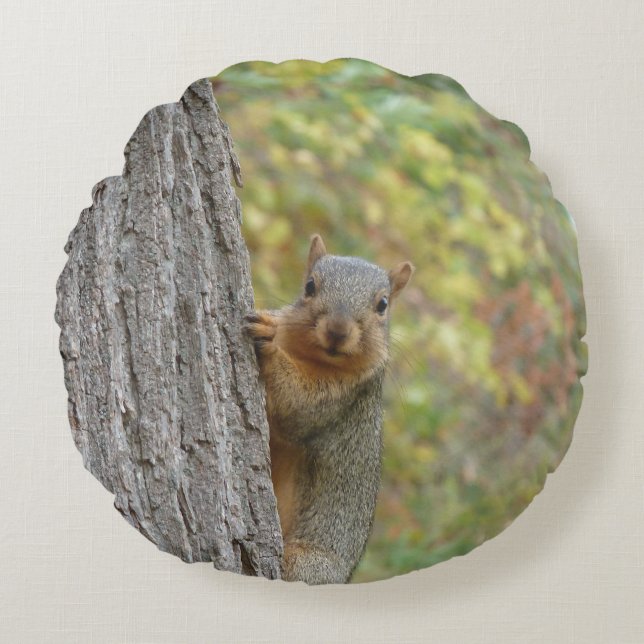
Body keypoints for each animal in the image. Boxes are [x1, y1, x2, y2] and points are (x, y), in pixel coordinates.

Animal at [245, 234, 413, 584]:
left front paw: (269, 343)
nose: (337, 329)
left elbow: (296, 406)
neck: (312, 357)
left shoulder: (342, 399)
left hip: (307, 566)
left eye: (383, 305)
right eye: (309, 286)